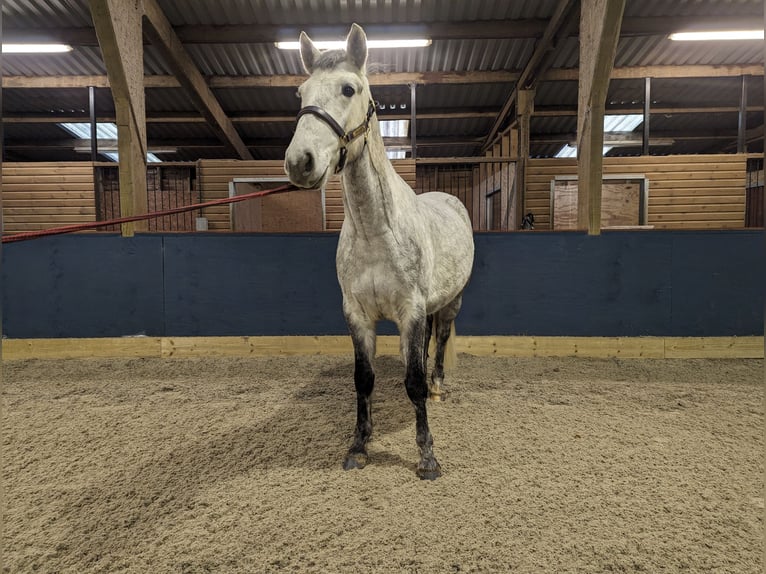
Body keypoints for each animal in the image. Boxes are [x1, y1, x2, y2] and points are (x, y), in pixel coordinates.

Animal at [282, 23, 474, 482]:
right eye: (300, 93)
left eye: (349, 89)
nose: (299, 162)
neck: (376, 233)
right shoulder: (357, 314)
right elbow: (363, 380)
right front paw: (359, 446)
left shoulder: (411, 311)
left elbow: (414, 382)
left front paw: (427, 456)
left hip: (451, 303)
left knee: (439, 343)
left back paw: (440, 387)